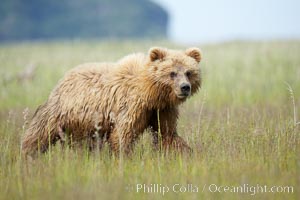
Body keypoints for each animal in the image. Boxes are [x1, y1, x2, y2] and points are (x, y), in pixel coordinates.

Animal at [21, 47, 202, 156]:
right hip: (62, 112)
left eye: (189, 72)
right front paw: (125, 157)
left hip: (81, 124)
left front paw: (186, 153)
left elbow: (167, 134)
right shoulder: (132, 106)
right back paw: (28, 154)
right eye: (172, 73)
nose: (185, 87)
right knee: (39, 133)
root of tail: (62, 79)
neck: (151, 92)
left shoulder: (161, 110)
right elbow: (123, 134)